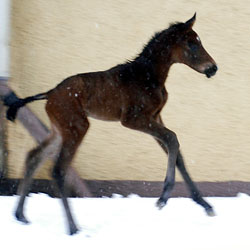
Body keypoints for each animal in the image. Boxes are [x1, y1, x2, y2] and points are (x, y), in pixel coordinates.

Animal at [4, 13, 217, 235]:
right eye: (192, 43)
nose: (213, 68)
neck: (148, 76)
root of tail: (49, 93)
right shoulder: (133, 119)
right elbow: (172, 138)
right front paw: (163, 197)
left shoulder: (156, 117)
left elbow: (177, 154)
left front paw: (205, 204)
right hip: (77, 127)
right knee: (58, 169)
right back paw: (73, 228)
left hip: (59, 130)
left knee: (34, 157)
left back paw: (20, 215)